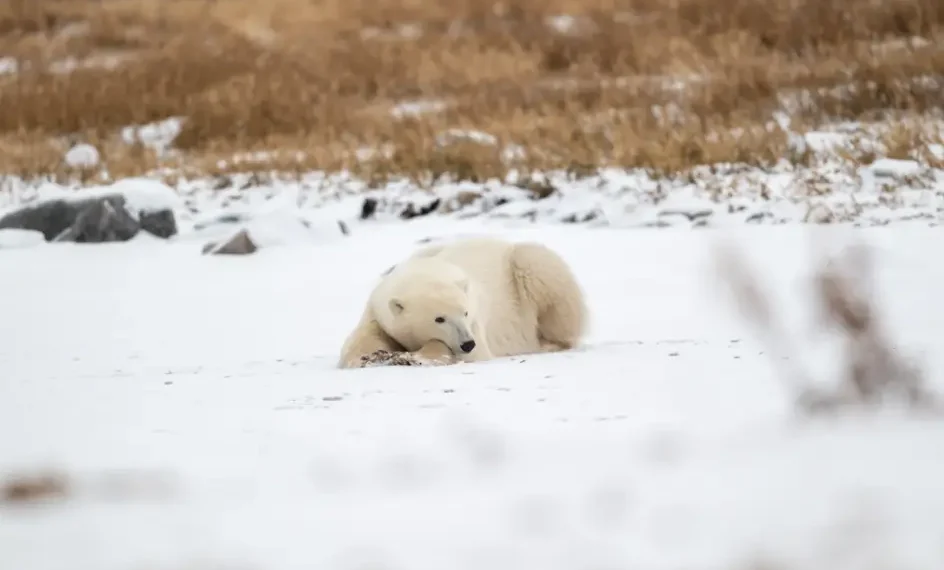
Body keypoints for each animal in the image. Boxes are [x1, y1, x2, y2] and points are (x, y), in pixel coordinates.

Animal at [340, 235, 588, 368]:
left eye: (465, 313)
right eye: (439, 318)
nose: (468, 343)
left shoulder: (477, 326)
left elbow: (469, 353)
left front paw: (414, 357)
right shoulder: (377, 310)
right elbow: (361, 340)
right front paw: (370, 357)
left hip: (528, 267)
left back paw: (547, 343)